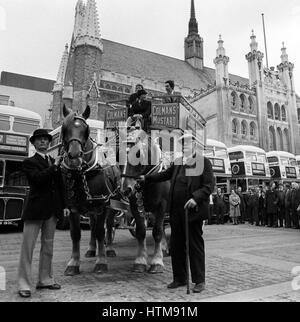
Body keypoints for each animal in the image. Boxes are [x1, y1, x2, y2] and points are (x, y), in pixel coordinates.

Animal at [60, 105, 121, 274]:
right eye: (64, 128)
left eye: (85, 129)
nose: (74, 156)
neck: (83, 173)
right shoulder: (73, 208)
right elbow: (75, 234)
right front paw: (73, 263)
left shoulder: (101, 205)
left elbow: (101, 232)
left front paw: (101, 261)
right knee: (93, 226)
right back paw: (91, 249)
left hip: (111, 205)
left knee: (109, 225)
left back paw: (109, 249)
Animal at [120, 127, 171, 272]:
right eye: (117, 153)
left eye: (137, 154)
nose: (126, 189)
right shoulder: (135, 207)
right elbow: (141, 231)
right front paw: (140, 260)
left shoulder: (162, 205)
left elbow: (157, 232)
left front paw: (157, 262)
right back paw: (164, 248)